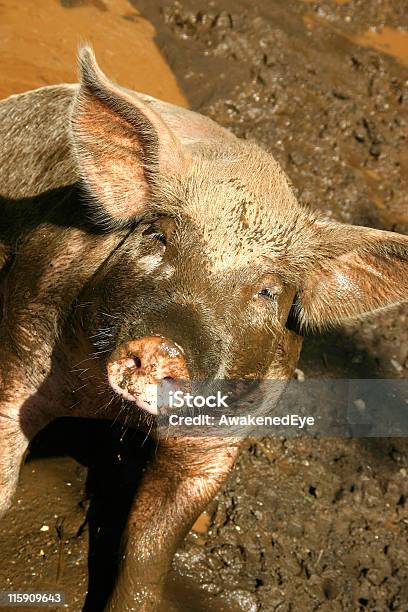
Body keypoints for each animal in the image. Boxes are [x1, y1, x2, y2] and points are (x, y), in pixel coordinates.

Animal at [0, 45, 406, 608]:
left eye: (268, 291)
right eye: (158, 236)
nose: (164, 346)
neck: (109, 411)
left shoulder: (222, 437)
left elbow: (151, 548)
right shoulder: (25, 333)